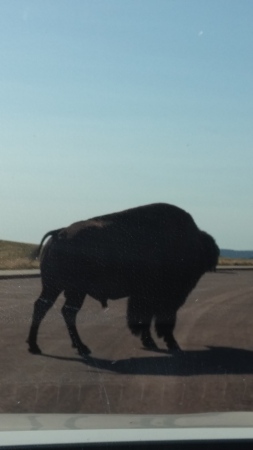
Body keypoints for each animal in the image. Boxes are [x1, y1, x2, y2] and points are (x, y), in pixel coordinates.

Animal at [26, 203, 219, 356]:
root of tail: (59, 233)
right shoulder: (163, 298)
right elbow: (157, 320)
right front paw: (170, 344)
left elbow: (146, 319)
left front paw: (152, 342)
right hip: (72, 290)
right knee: (65, 311)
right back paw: (79, 347)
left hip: (56, 287)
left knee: (46, 308)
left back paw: (38, 346)